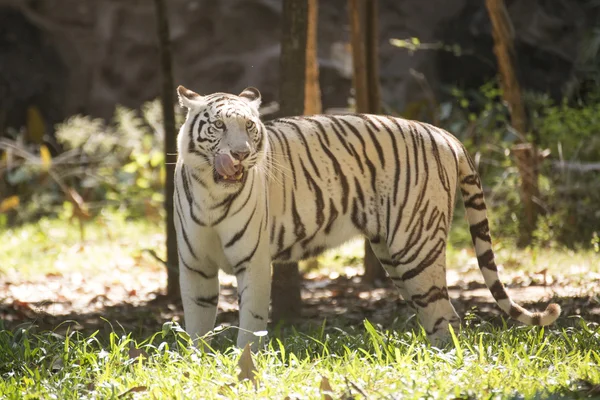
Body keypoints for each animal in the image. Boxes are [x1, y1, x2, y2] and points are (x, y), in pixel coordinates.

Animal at [175, 85, 564, 350]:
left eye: (250, 127)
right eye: (219, 126)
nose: (241, 154)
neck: (212, 193)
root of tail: (443, 133)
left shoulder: (253, 262)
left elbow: (251, 322)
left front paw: (245, 364)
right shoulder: (195, 265)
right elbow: (197, 322)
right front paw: (199, 361)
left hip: (416, 248)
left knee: (447, 316)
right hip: (396, 256)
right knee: (434, 312)